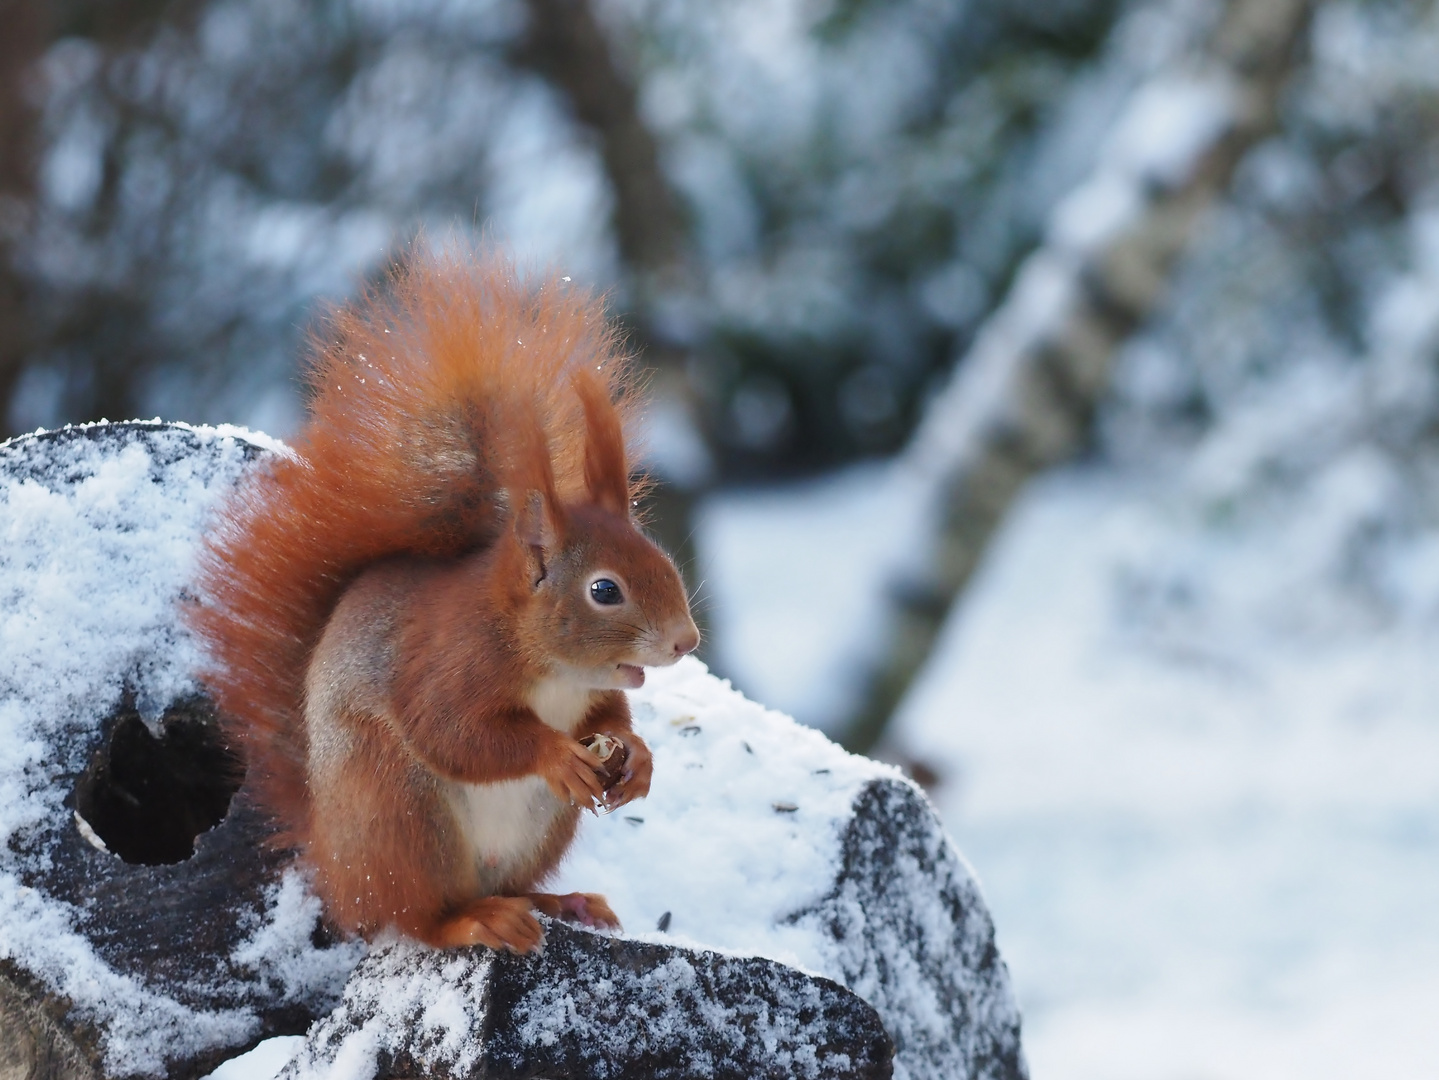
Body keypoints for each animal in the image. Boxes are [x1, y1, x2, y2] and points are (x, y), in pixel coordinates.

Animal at [189, 251, 696, 954]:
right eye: (604, 591)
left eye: (666, 563)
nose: (686, 641)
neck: (551, 668)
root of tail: (334, 866)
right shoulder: (447, 660)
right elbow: (452, 731)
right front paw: (555, 754)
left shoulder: (593, 693)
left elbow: (613, 715)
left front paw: (638, 758)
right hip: (400, 810)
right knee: (415, 915)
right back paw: (474, 919)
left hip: (537, 830)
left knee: (510, 886)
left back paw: (561, 902)